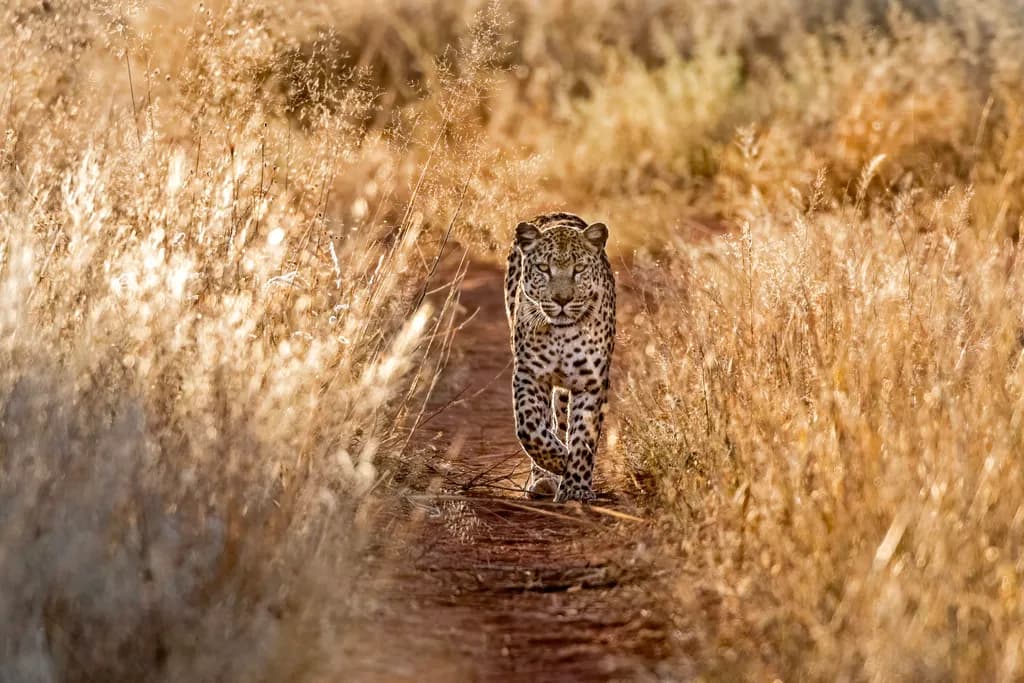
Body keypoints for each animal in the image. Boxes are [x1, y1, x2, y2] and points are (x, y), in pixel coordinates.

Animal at [504, 212, 616, 503]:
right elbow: (529, 427)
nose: (562, 299)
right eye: (544, 268)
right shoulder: (530, 374)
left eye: (579, 269)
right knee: (548, 421)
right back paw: (543, 478)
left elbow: (584, 435)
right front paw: (558, 460)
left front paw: (575, 486)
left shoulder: (591, 382)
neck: (562, 335)